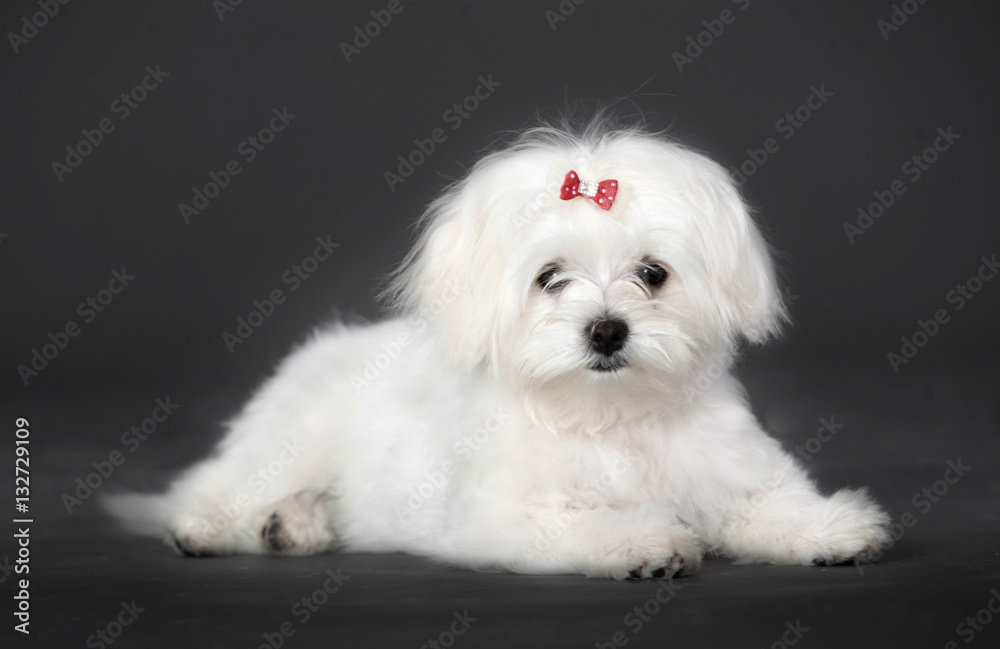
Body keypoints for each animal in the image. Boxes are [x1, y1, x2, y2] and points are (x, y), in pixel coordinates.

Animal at [111, 119, 892, 580]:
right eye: (551, 277)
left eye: (652, 273)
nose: (607, 329)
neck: (609, 414)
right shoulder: (503, 513)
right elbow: (580, 522)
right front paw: (645, 541)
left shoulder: (727, 471)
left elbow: (767, 507)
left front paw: (830, 526)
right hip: (291, 437)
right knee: (222, 485)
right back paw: (214, 526)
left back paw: (295, 526)